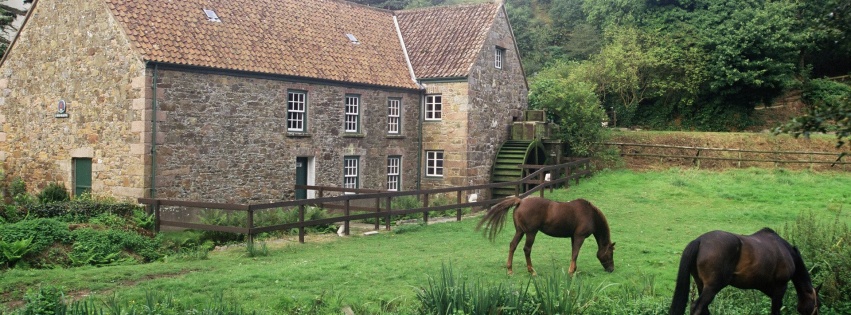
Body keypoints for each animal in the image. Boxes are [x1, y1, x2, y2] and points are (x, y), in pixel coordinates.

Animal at [476, 198, 616, 276]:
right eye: (610, 253)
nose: (611, 269)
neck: (590, 214)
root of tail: (520, 201)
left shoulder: (573, 237)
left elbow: (573, 253)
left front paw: (574, 270)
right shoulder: (579, 237)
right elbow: (575, 254)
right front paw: (571, 272)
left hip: (520, 232)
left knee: (512, 246)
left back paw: (510, 270)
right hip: (531, 233)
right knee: (527, 249)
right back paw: (532, 271)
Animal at [668, 230, 824, 315]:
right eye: (818, 304)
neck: (786, 252)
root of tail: (699, 241)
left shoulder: (768, 288)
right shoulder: (780, 287)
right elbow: (775, 309)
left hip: (702, 286)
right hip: (712, 287)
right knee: (697, 307)